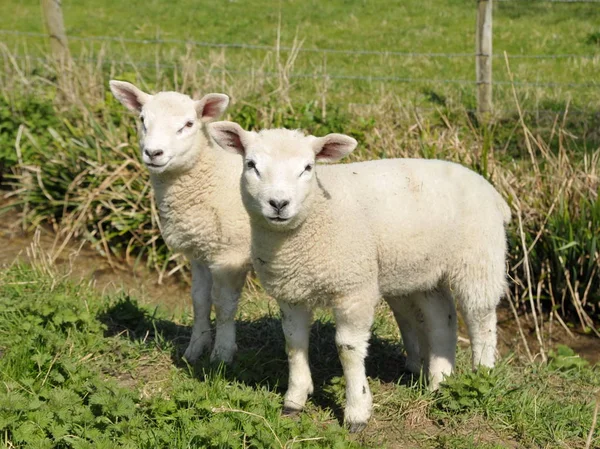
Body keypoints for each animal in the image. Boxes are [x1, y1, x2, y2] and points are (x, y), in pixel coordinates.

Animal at [109, 81, 251, 364]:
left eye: (188, 124)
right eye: (142, 120)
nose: (153, 153)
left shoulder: (231, 254)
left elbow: (224, 305)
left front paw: (222, 355)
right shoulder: (200, 251)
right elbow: (199, 300)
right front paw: (195, 349)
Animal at [211, 121, 510, 430]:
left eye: (307, 167)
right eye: (251, 165)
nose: (279, 203)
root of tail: (492, 191)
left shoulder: (353, 290)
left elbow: (348, 349)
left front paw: (357, 411)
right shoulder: (291, 290)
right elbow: (294, 342)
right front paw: (294, 399)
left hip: (479, 260)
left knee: (481, 319)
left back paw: (481, 376)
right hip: (428, 269)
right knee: (442, 318)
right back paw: (439, 382)